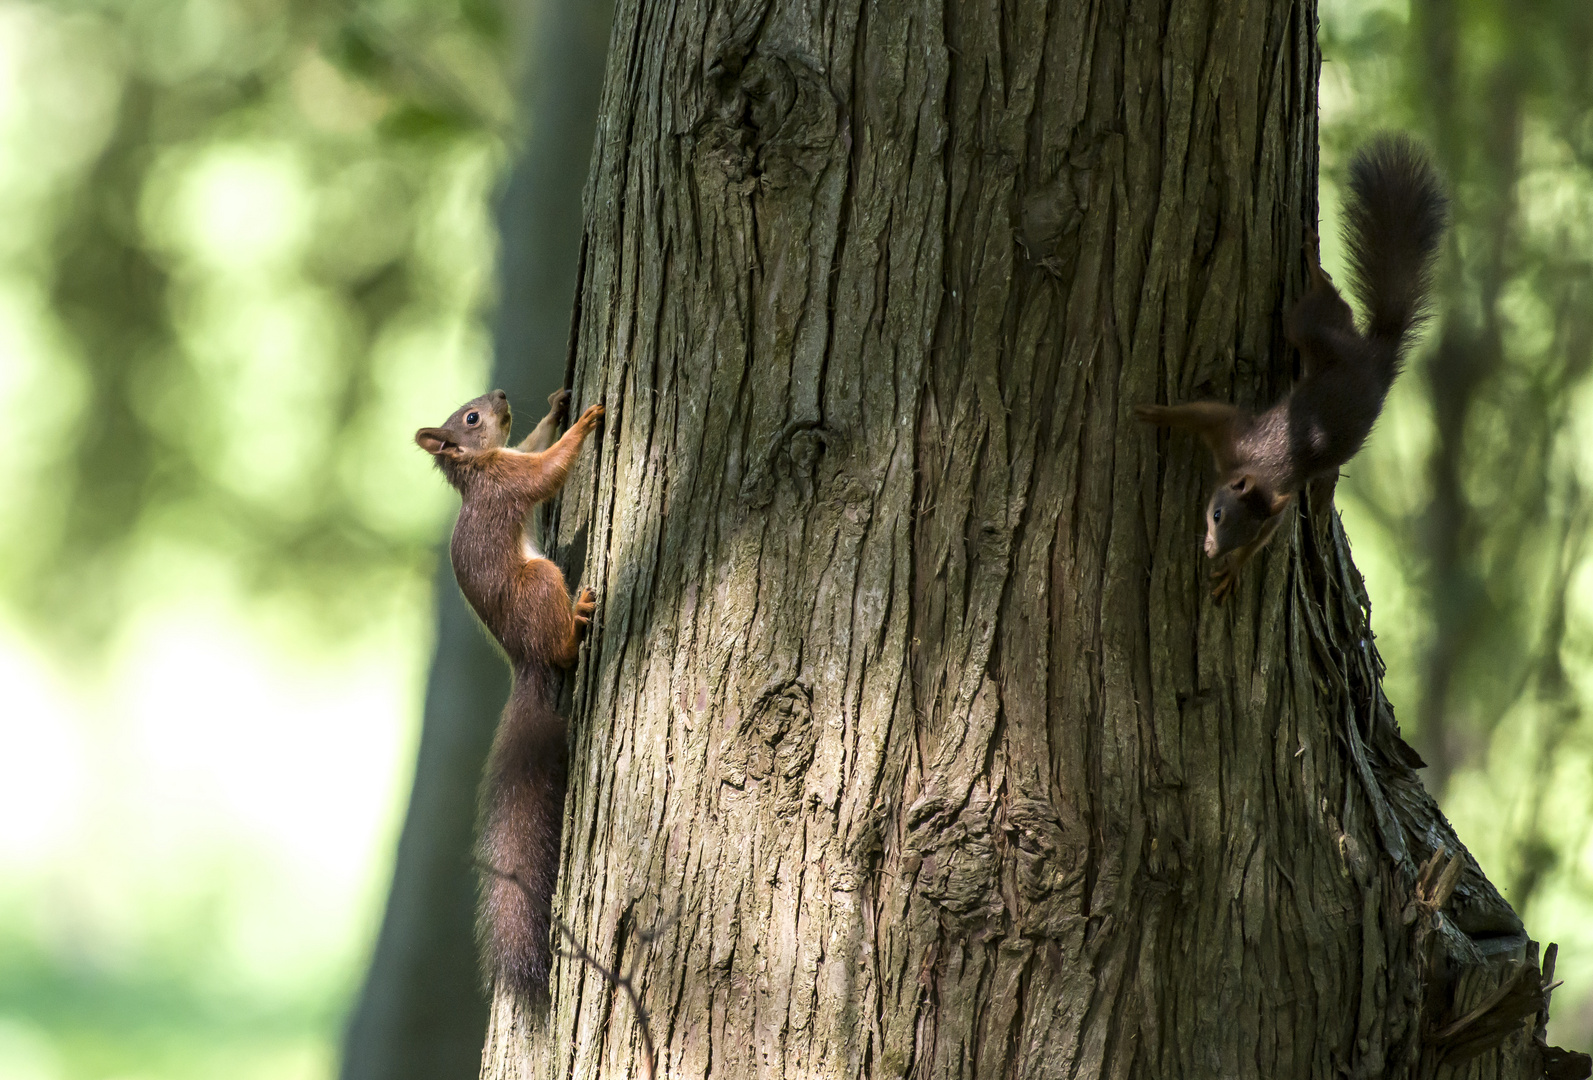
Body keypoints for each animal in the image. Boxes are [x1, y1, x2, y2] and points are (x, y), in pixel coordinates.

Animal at [417, 387, 602, 1000]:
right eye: (470, 418)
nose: (499, 395)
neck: (478, 468)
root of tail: (525, 661)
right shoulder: (508, 481)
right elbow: (546, 471)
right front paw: (586, 423)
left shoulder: (510, 457)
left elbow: (533, 443)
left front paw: (559, 408)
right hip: (539, 584)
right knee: (562, 650)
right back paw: (577, 624)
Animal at [1134, 134, 1446, 602]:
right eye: (1218, 515)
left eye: (1239, 532)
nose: (1211, 551)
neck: (1260, 473)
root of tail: (1377, 360)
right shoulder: (1235, 434)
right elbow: (1204, 413)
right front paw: (1159, 413)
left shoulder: (1265, 490)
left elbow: (1264, 531)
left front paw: (1234, 569)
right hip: (1314, 330)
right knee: (1324, 304)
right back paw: (1314, 264)